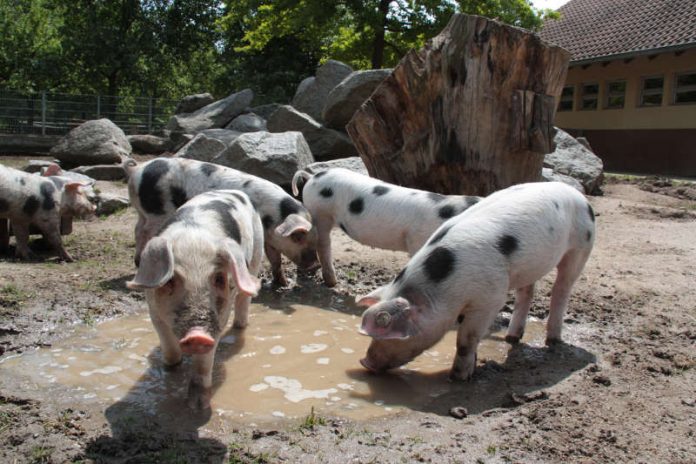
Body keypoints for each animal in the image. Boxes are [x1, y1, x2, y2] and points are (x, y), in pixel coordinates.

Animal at [126, 158, 320, 284]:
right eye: (297, 237)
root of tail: (136, 171)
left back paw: (137, 262)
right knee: (146, 232)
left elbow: (275, 259)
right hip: (157, 211)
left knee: (137, 229)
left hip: (143, 212)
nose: (316, 265)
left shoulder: (271, 237)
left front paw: (284, 283)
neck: (273, 215)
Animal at [127, 188, 264, 410]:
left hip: (256, 255)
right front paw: (170, 372)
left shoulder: (218, 317)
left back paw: (239, 326)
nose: (197, 335)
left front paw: (197, 406)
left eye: (218, 278)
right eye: (171, 279)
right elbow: (170, 348)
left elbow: (204, 361)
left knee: (244, 298)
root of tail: (233, 190)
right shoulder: (153, 309)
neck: (192, 239)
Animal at [356, 181, 596, 380]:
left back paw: (553, 341)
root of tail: (577, 194)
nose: (365, 362)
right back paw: (511, 338)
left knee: (562, 288)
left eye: (393, 336)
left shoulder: (491, 298)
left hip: (582, 245)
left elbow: (465, 340)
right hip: (529, 264)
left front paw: (458, 378)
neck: (442, 289)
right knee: (527, 292)